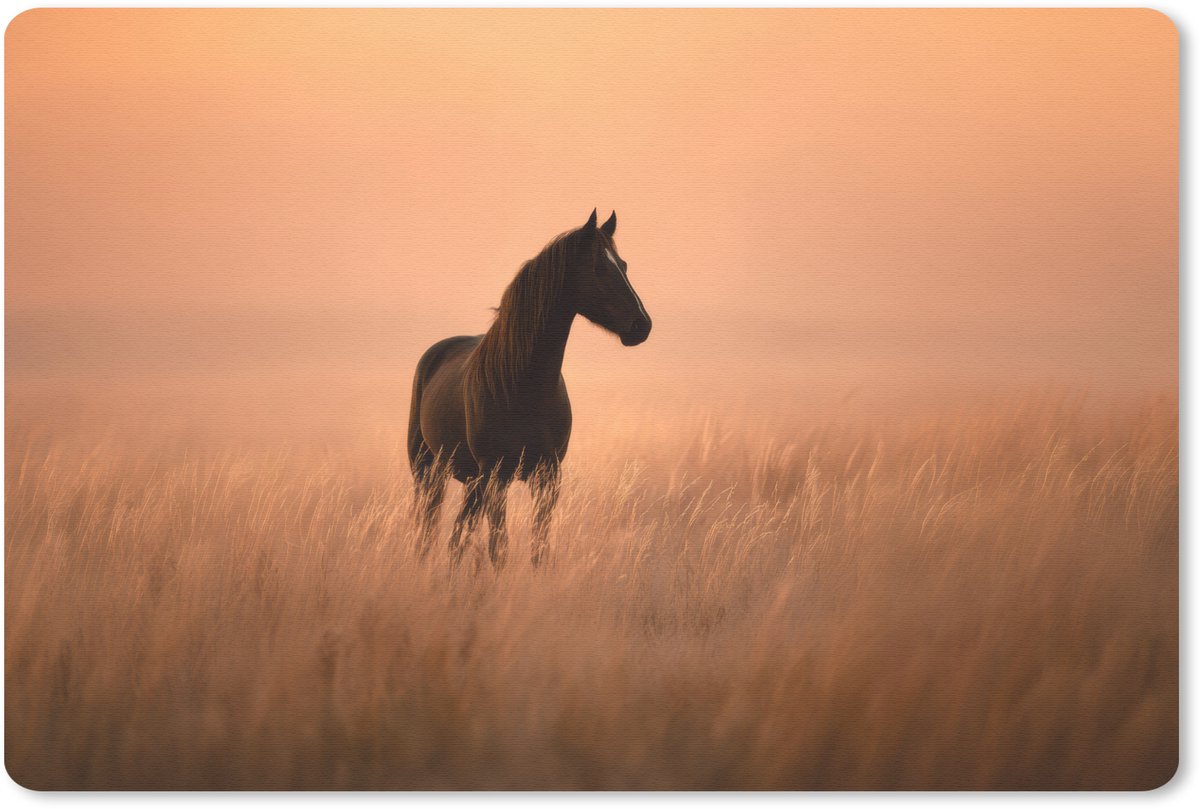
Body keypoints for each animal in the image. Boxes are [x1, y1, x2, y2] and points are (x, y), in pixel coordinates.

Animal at [407, 209, 652, 569]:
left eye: (623, 264)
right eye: (598, 267)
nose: (641, 325)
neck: (524, 387)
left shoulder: (547, 477)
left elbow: (539, 548)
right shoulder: (496, 477)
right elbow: (499, 548)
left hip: (470, 481)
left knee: (457, 537)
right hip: (430, 471)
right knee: (430, 532)